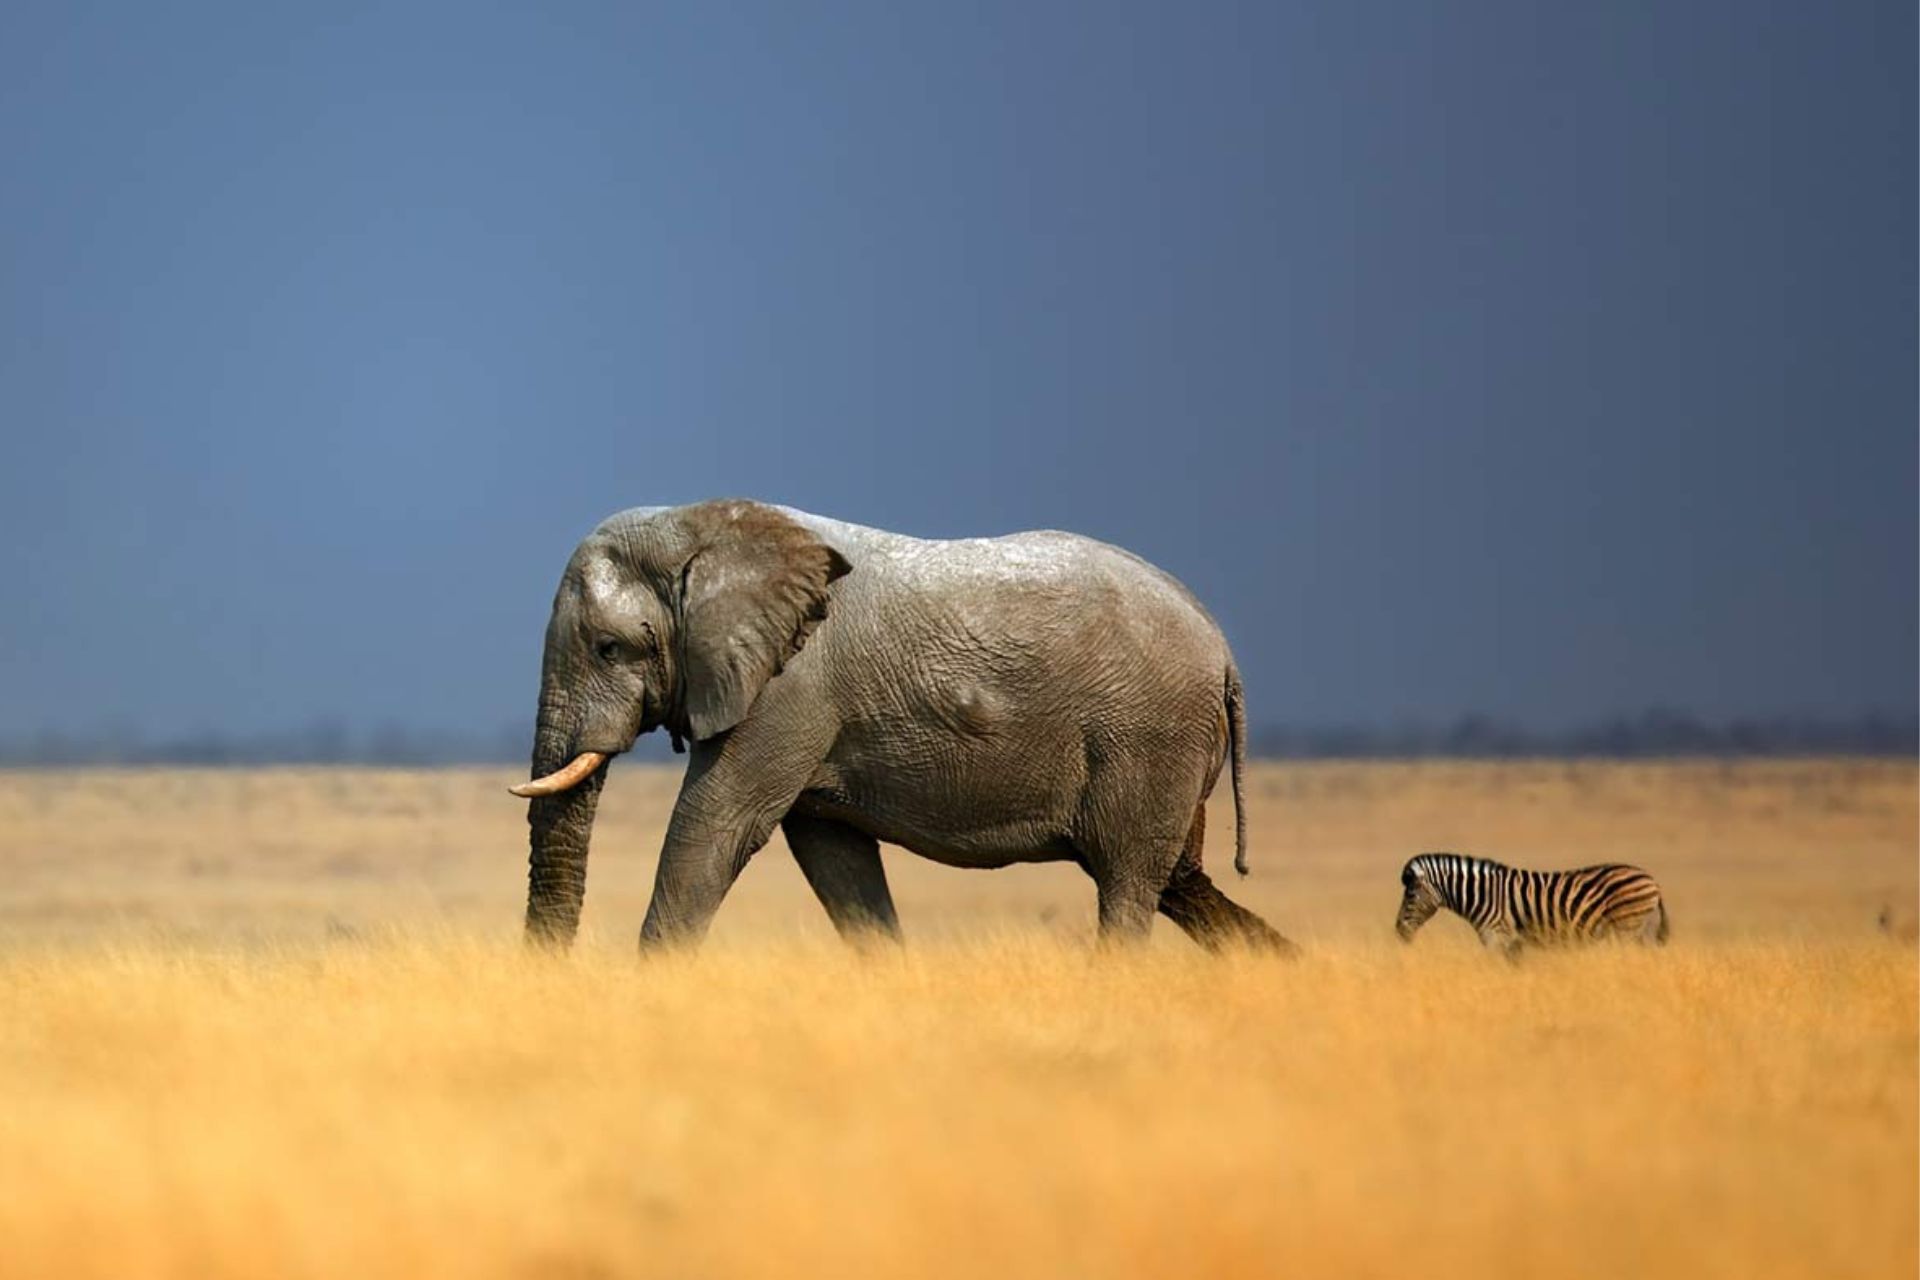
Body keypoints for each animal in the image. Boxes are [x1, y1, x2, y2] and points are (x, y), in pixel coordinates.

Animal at [514, 498, 1290, 951]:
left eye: (610, 648)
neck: (703, 524)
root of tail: (1223, 653)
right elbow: (835, 858)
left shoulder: (791, 690)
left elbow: (715, 826)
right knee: (1181, 884)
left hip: (1148, 736)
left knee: (1130, 888)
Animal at [1397, 852, 1666, 959]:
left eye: (1411, 895)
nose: (1399, 930)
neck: (1483, 894)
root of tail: (1652, 879)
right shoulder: (1513, 943)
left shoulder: (1497, 937)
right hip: (1641, 932)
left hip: (1626, 928)